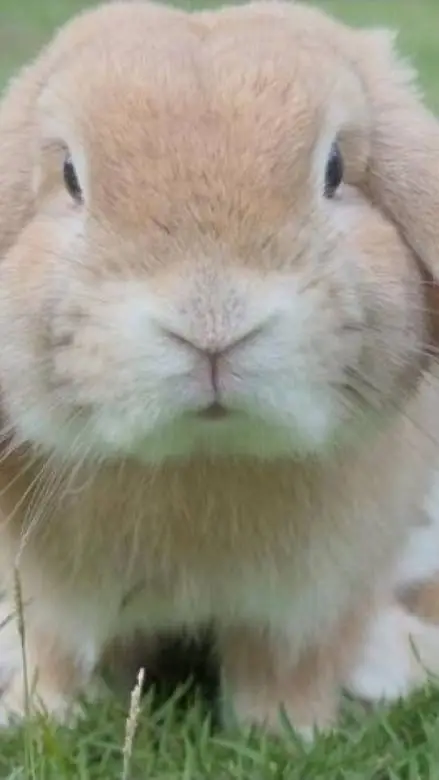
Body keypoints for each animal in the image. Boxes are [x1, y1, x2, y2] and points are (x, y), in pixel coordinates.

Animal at [1, 0, 439, 736]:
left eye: (335, 168)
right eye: (70, 178)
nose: (212, 326)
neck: (203, 458)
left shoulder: (311, 600)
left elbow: (286, 668)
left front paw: (290, 733)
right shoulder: (52, 596)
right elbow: (60, 655)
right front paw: (39, 719)